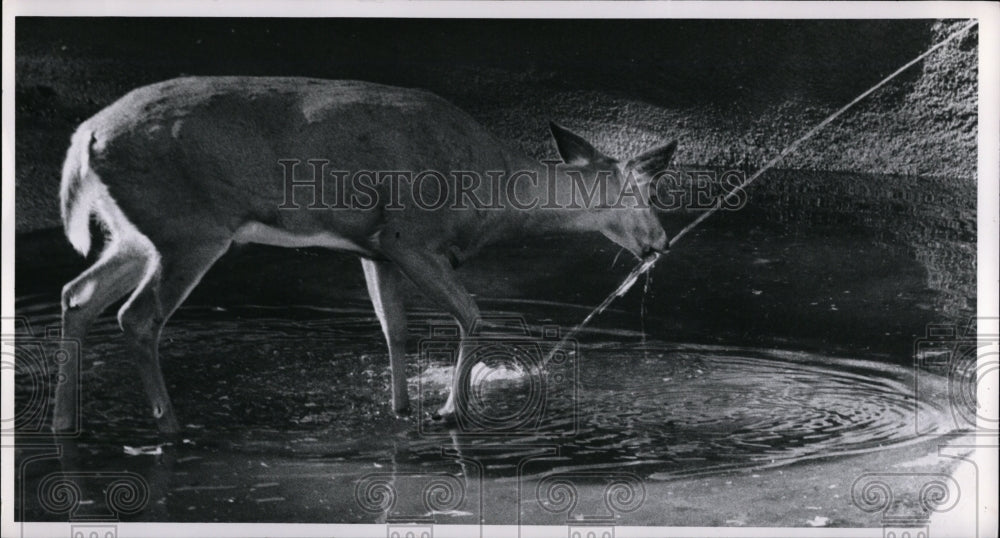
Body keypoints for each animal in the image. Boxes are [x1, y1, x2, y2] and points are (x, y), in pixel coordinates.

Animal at [50, 77, 672, 434]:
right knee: (136, 317)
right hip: (190, 228)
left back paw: (63, 421)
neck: (489, 195)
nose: (660, 242)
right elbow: (471, 314)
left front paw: (400, 410)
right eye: (641, 192)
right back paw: (172, 428)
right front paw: (450, 411)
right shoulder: (409, 235)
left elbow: (393, 328)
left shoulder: (375, 248)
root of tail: (85, 136)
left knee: (78, 295)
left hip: (139, 231)